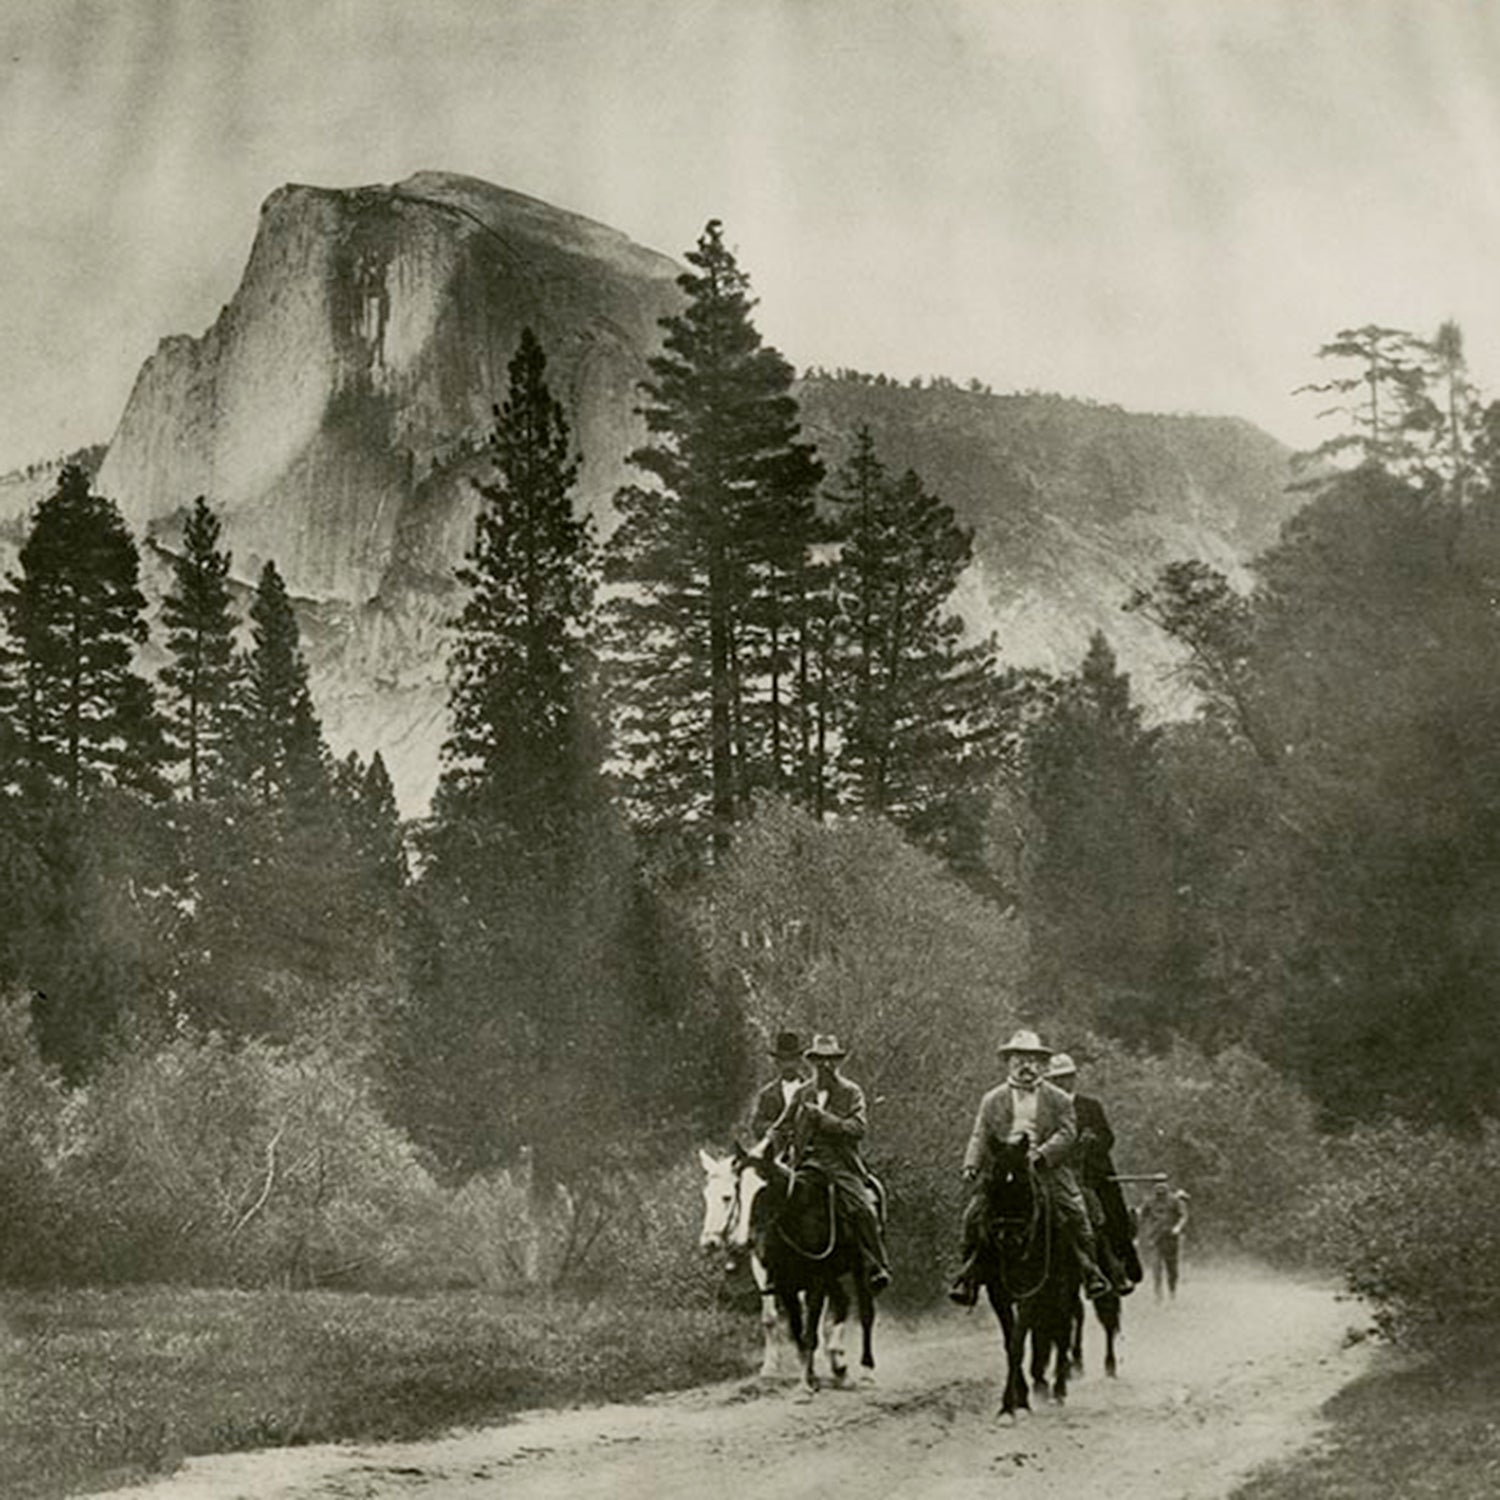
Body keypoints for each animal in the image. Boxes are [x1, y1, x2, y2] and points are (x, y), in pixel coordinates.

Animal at [699, 1146, 852, 1380]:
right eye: (706, 1196)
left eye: (727, 1197)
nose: (708, 1242)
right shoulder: (762, 1266)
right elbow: (769, 1317)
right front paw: (770, 1366)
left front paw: (811, 1359)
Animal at [738, 1140, 876, 1398]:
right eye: (738, 1189)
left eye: (763, 1188)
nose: (747, 1240)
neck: (796, 1217)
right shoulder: (787, 1286)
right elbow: (798, 1333)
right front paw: (809, 1379)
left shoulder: (816, 1283)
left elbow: (810, 1333)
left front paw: (805, 1384)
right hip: (832, 1277)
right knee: (842, 1303)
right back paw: (839, 1366)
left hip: (860, 1269)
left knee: (865, 1313)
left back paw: (866, 1371)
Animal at [972, 1134, 1080, 1416]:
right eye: (991, 1182)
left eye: (1023, 1183)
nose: (1007, 1238)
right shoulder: (998, 1294)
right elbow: (1011, 1342)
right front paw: (1017, 1400)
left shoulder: (1032, 1290)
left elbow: (1019, 1341)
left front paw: (1010, 1405)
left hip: (1065, 1289)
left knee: (1063, 1330)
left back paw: (1059, 1389)